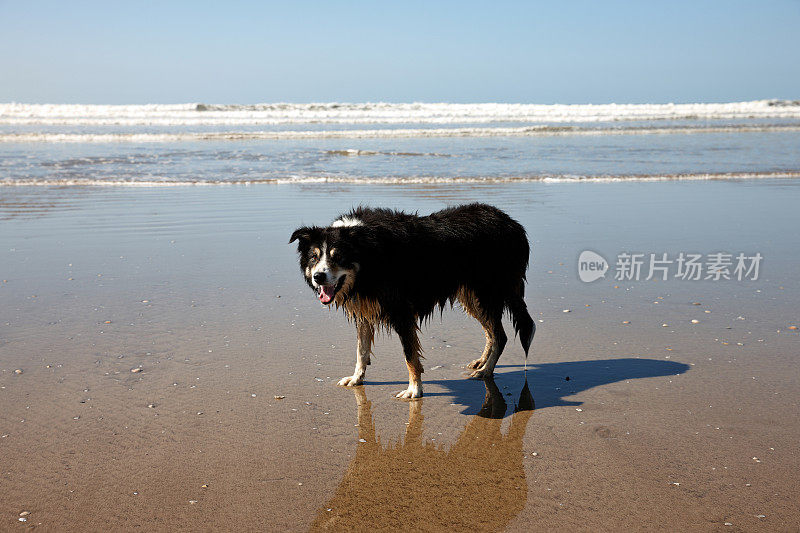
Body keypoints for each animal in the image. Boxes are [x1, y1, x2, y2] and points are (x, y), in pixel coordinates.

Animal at [290, 204, 536, 400]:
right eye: (314, 257)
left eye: (338, 256)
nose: (318, 277)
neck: (367, 256)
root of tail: (514, 225)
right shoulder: (365, 307)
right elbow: (361, 350)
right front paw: (356, 378)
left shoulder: (401, 311)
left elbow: (410, 355)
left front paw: (414, 390)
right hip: (471, 295)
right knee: (491, 332)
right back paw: (481, 362)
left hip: (487, 292)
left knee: (500, 335)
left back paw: (486, 371)